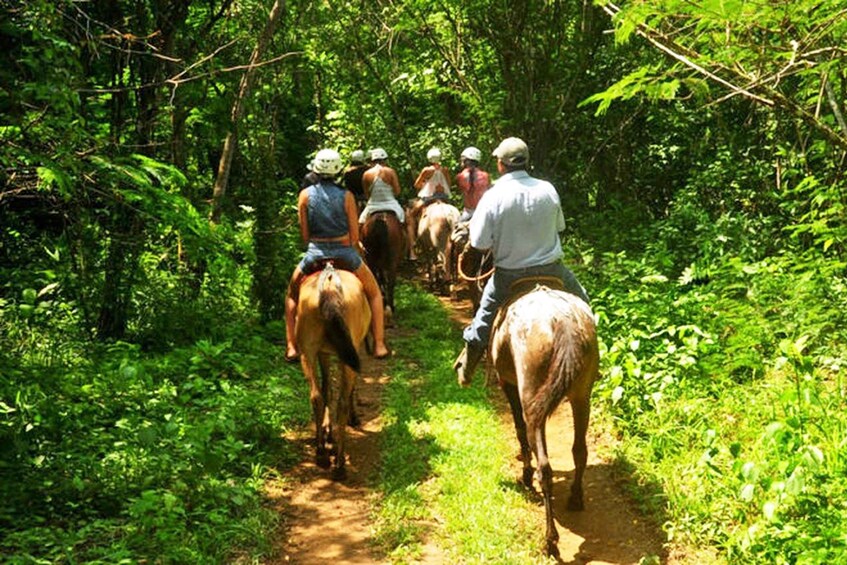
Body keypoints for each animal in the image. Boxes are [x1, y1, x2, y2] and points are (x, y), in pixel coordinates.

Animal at [294, 262, 372, 478]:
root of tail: (328, 286)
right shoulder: (353, 350)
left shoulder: (323, 353)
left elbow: (327, 388)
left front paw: (328, 434)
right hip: (347, 353)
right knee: (342, 402)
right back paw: (339, 464)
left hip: (307, 352)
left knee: (316, 396)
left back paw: (321, 452)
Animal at [486, 278, 600, 556]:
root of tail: (564, 322)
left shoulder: (507, 383)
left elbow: (518, 429)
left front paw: (524, 475)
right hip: (582, 396)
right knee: (579, 450)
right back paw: (576, 498)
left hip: (532, 397)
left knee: (545, 467)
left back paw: (550, 539)